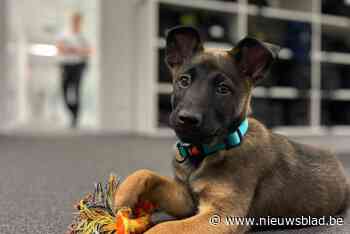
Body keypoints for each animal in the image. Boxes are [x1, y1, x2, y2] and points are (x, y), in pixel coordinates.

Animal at [114, 26, 348, 234]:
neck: (205, 152)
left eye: (223, 89)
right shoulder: (185, 199)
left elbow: (164, 228)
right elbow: (145, 173)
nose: (187, 119)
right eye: (183, 81)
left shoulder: (222, 214)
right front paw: (122, 197)